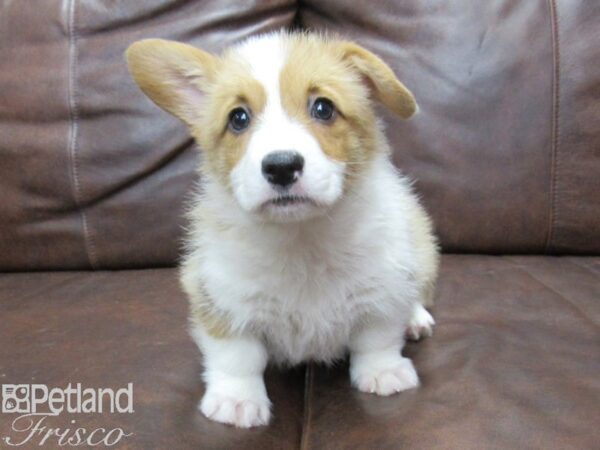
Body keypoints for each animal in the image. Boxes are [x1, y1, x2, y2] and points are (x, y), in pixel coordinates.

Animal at [126, 31, 438, 428]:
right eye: (238, 118)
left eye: (323, 108)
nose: (281, 166)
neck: (301, 238)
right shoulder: (221, 299)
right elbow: (237, 356)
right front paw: (237, 401)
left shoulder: (382, 289)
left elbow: (376, 338)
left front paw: (384, 373)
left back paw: (416, 319)